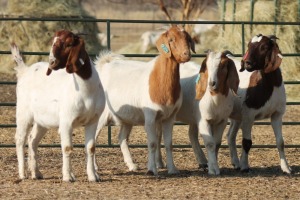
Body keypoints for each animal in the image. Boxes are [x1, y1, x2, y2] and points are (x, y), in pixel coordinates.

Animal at [12, 30, 105, 182]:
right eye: (52, 43)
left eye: (68, 43)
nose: (52, 62)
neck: (86, 90)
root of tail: (25, 71)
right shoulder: (66, 121)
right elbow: (67, 148)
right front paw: (67, 177)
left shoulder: (93, 120)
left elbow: (91, 148)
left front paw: (93, 176)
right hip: (23, 113)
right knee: (20, 139)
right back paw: (22, 174)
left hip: (42, 120)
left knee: (32, 140)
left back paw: (36, 173)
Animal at [95, 25, 196, 175]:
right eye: (171, 39)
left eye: (188, 39)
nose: (186, 54)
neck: (159, 79)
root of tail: (104, 66)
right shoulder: (150, 116)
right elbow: (152, 143)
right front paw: (152, 169)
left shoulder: (169, 117)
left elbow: (168, 144)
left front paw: (173, 169)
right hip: (101, 115)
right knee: (93, 137)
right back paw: (95, 167)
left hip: (127, 117)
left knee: (121, 138)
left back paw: (132, 165)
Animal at [227, 34, 290, 173]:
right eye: (249, 45)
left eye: (265, 47)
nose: (247, 63)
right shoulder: (249, 114)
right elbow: (246, 142)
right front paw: (245, 166)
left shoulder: (277, 114)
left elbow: (280, 142)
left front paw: (286, 168)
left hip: (236, 116)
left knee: (230, 136)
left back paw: (235, 163)